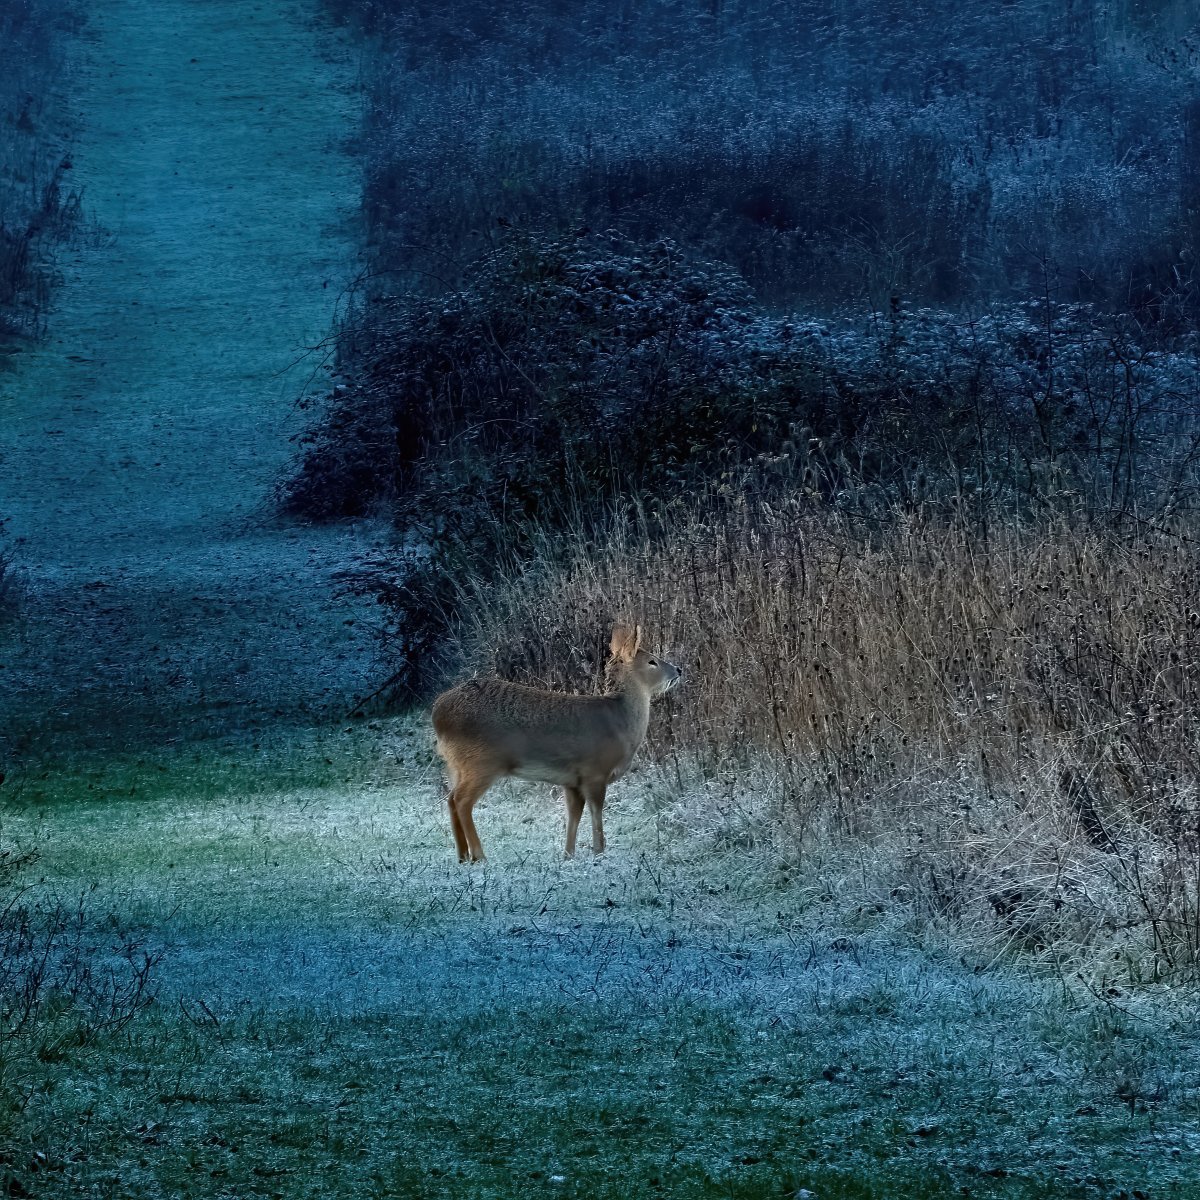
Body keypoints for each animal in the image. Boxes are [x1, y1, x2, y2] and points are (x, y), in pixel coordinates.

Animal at [432, 628, 681, 864]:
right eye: (652, 661)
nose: (678, 670)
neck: (621, 722)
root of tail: (438, 714)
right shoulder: (595, 772)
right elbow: (596, 812)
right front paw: (599, 851)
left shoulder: (571, 781)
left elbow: (574, 815)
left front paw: (568, 854)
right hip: (482, 762)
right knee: (461, 800)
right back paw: (479, 856)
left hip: (456, 764)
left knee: (450, 799)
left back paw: (462, 856)